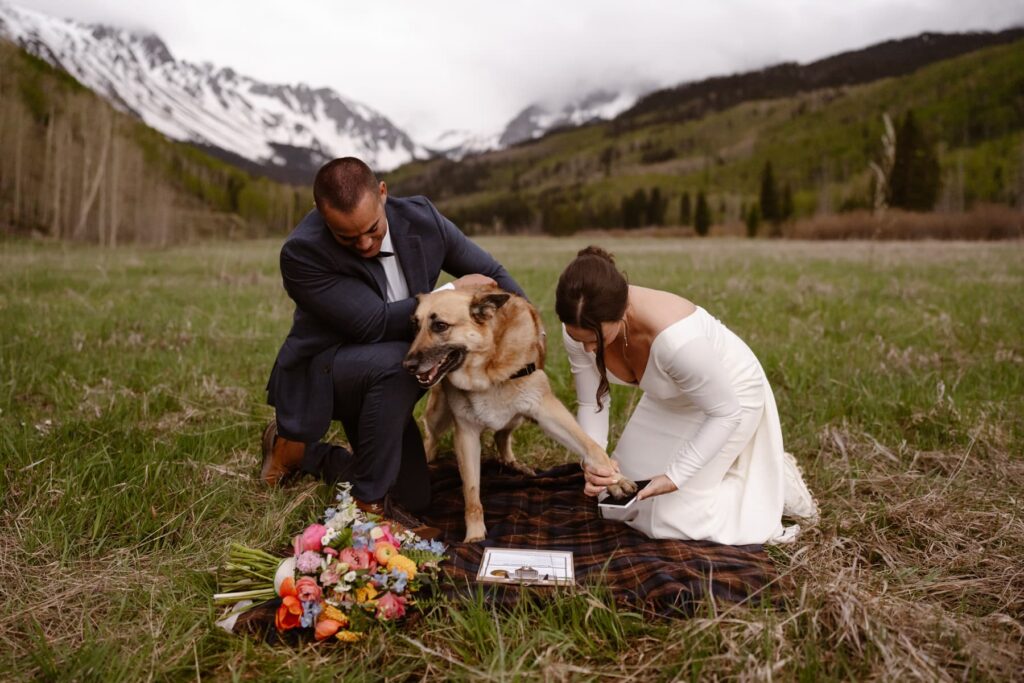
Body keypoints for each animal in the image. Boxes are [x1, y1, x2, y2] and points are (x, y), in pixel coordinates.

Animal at [403, 286, 634, 540]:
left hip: (518, 416)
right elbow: (471, 492)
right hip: (439, 415)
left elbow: (591, 447)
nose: (407, 366)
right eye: (415, 325)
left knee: (501, 435)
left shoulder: (547, 409)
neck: (489, 368)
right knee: (431, 438)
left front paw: (614, 480)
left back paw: (514, 465)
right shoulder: (466, 434)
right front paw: (474, 536)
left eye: (440, 326)